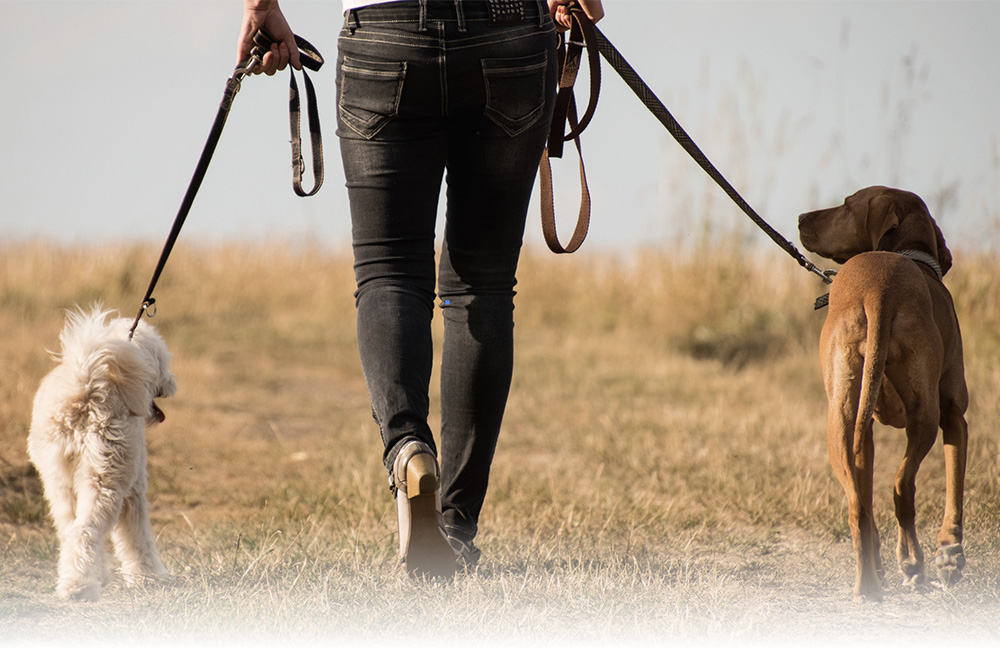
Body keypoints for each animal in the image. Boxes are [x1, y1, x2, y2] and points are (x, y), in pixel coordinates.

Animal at [28, 310, 177, 604]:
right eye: (162, 362)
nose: (172, 382)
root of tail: (86, 384)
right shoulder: (134, 491)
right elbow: (138, 538)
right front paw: (151, 576)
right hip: (105, 478)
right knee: (85, 530)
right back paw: (79, 589)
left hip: (58, 481)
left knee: (69, 530)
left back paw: (78, 580)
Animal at [796, 185, 968, 604]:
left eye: (845, 205)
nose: (800, 218)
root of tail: (879, 289)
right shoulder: (954, 413)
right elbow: (954, 487)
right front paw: (950, 554)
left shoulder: (866, 428)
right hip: (925, 416)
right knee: (902, 488)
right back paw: (912, 565)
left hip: (840, 421)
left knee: (858, 506)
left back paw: (869, 586)